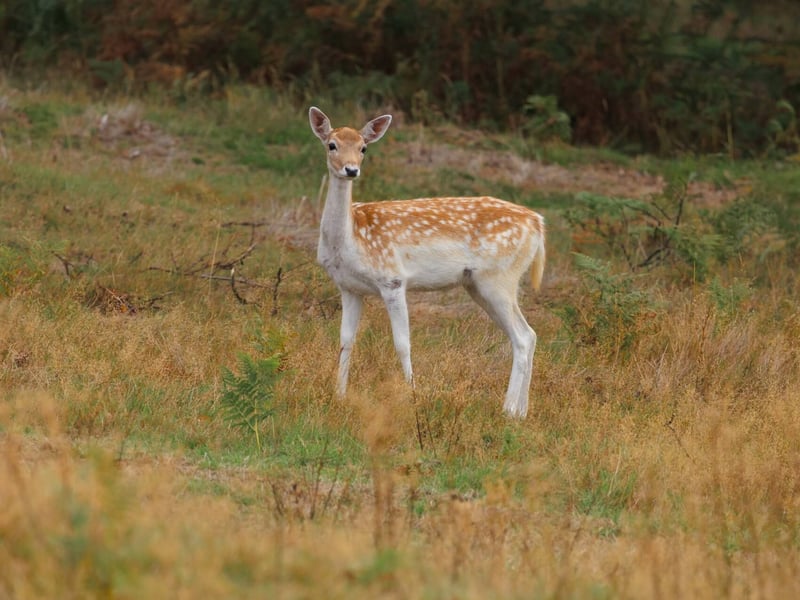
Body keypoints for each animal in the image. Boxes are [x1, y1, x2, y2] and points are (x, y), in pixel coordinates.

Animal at [309, 106, 545, 418]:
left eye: (363, 148)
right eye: (331, 145)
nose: (351, 170)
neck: (351, 238)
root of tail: (538, 223)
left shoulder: (392, 279)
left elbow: (403, 344)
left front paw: (412, 396)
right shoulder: (349, 287)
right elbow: (345, 341)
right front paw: (339, 396)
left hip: (500, 276)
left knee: (523, 336)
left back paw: (508, 410)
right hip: (478, 284)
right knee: (526, 336)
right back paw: (521, 412)